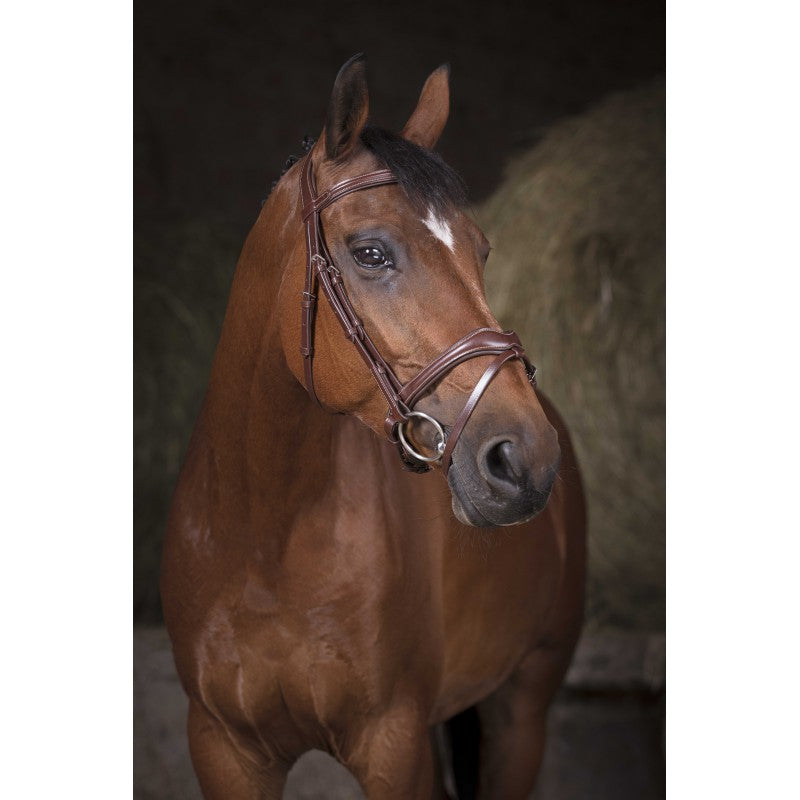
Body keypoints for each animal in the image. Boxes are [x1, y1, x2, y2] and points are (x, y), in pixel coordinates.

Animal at [161, 54, 585, 799]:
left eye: (481, 251)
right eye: (370, 253)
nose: (527, 459)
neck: (264, 539)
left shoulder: (394, 746)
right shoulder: (223, 749)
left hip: (523, 708)